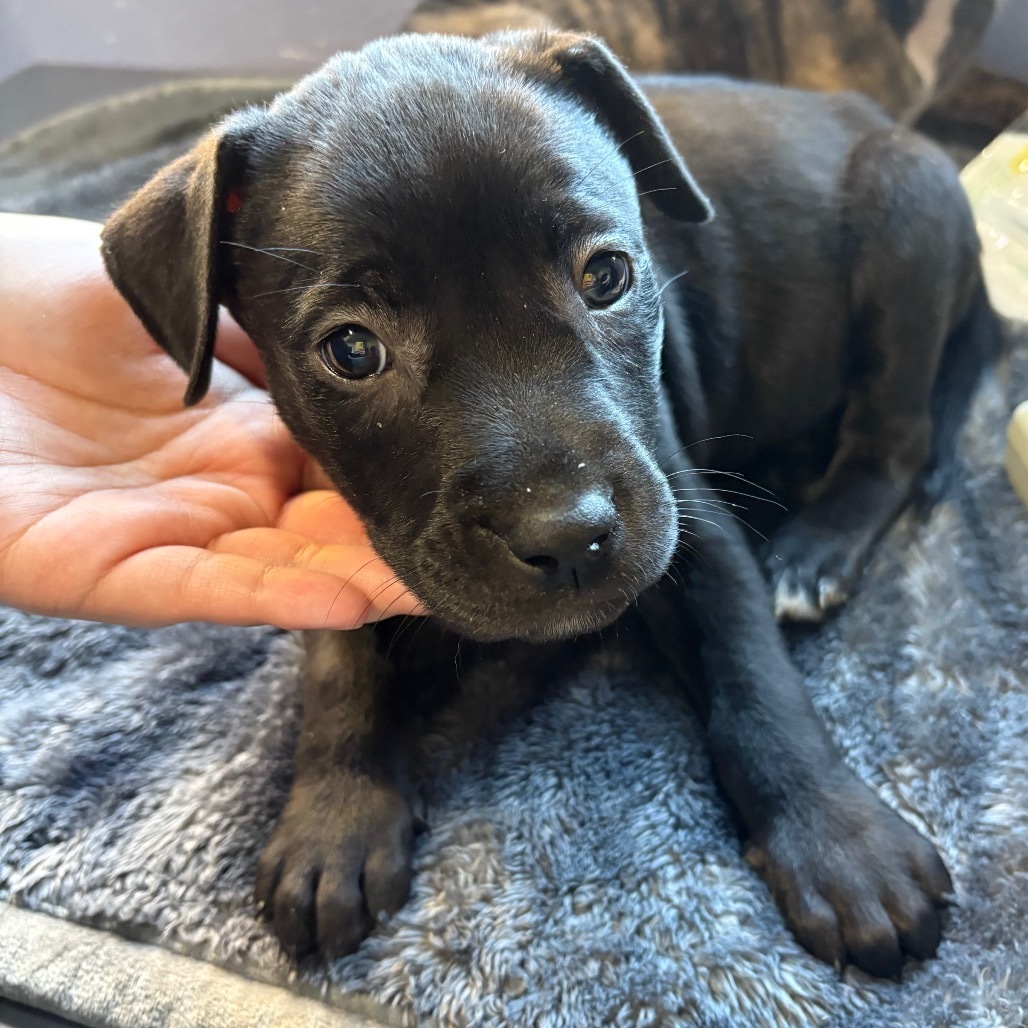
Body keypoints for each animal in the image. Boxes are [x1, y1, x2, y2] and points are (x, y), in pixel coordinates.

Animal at [98, 30, 986, 978]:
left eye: (607, 276)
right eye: (352, 349)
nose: (567, 537)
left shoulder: (688, 521)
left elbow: (753, 673)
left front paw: (839, 839)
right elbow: (339, 660)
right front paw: (335, 812)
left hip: (909, 212)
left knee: (892, 442)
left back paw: (814, 548)